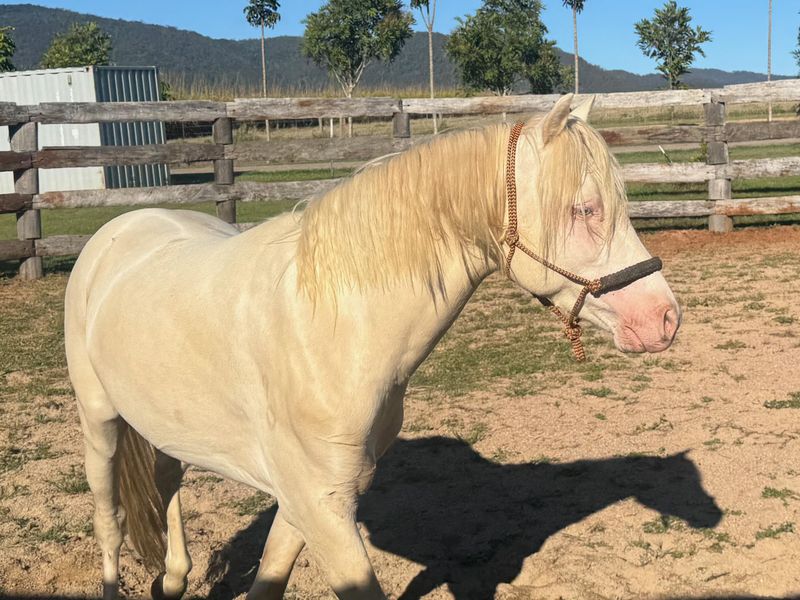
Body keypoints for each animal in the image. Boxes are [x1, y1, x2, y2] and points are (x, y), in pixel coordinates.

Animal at [64, 93, 681, 600]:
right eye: (585, 209)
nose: (665, 318)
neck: (333, 330)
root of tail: (124, 225)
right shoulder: (321, 508)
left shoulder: (310, 504)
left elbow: (269, 579)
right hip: (100, 423)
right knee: (108, 522)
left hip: (164, 424)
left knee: (167, 483)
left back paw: (172, 579)